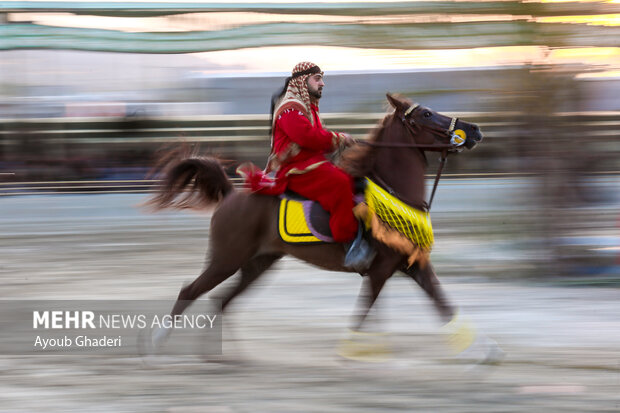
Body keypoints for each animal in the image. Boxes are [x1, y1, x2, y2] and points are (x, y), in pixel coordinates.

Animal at [148, 92, 502, 360]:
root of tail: (232, 194)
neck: (392, 191)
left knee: (221, 300)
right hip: (227, 259)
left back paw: (222, 355)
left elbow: (443, 303)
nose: (474, 129)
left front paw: (482, 351)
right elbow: (364, 311)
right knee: (190, 291)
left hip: (257, 264)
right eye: (426, 113)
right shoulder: (380, 270)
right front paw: (351, 350)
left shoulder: (412, 265)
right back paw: (156, 344)